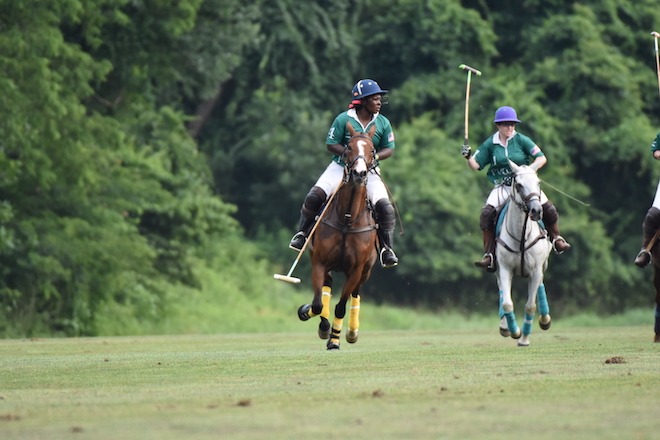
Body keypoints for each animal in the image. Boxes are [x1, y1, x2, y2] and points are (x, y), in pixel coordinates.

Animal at [298, 122, 378, 348]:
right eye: (349, 147)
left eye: (372, 150)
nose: (359, 174)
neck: (347, 219)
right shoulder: (319, 261)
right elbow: (317, 304)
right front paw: (312, 318)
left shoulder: (356, 270)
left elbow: (341, 305)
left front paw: (335, 339)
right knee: (327, 287)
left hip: (366, 270)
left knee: (355, 295)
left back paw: (351, 332)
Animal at [498, 161, 556, 348]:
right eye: (519, 185)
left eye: (538, 183)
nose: (536, 210)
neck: (521, 236)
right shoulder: (504, 269)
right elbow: (507, 303)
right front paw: (514, 331)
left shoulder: (536, 269)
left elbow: (530, 306)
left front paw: (523, 339)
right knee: (501, 292)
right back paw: (504, 326)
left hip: (543, 264)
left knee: (540, 285)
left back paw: (545, 319)